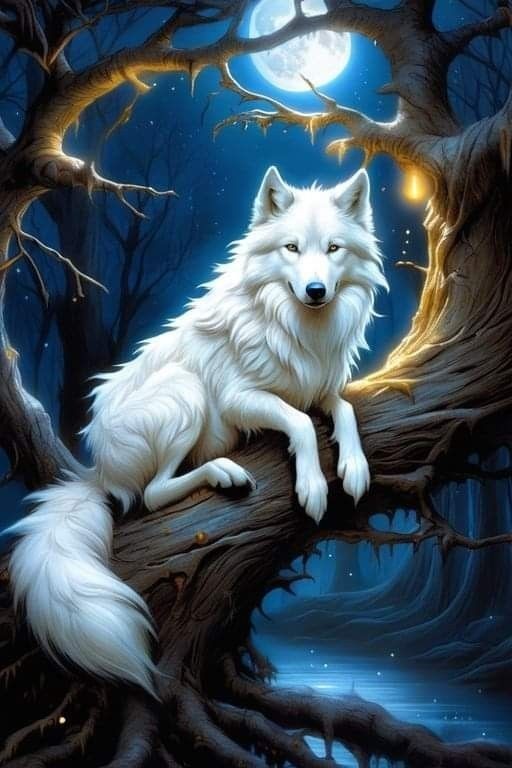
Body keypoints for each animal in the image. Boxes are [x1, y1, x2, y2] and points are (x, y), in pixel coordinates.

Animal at [9, 166, 387, 696]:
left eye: (333, 248)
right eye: (291, 248)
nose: (315, 290)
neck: (298, 327)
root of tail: (97, 471)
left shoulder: (316, 387)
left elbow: (344, 409)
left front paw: (353, 467)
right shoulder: (240, 399)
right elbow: (300, 424)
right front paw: (312, 486)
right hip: (185, 393)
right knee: (152, 494)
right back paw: (223, 473)